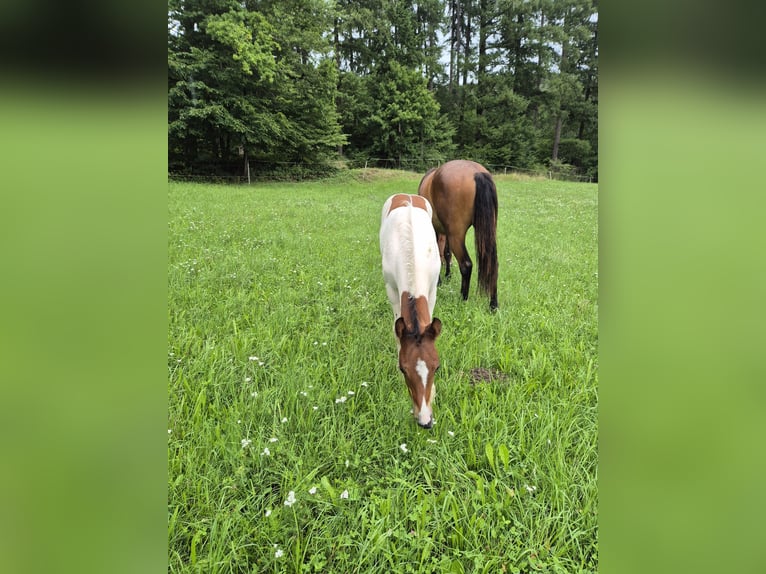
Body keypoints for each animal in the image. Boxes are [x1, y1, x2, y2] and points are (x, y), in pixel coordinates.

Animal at [379, 193, 443, 429]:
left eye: (437, 367)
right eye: (403, 369)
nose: (425, 421)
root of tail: (407, 195)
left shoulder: (432, 289)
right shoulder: (391, 289)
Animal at [418, 160, 499, 310]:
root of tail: (477, 172)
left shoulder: (438, 230)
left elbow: (439, 253)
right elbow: (446, 253)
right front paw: (448, 275)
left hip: (456, 235)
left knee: (466, 265)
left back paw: (463, 299)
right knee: (493, 265)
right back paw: (493, 305)